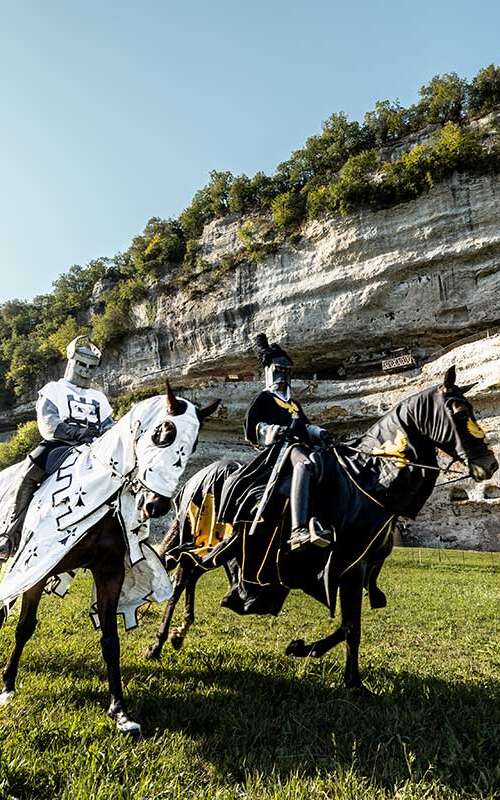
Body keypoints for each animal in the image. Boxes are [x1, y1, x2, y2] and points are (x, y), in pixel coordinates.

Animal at [0, 384, 220, 736]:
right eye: (163, 433)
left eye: (195, 443)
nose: (156, 505)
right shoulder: (35, 568)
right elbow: (24, 627)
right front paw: (7, 685)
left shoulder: (110, 573)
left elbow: (110, 640)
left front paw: (120, 711)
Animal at [146, 368, 498, 692]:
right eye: (460, 412)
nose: (490, 465)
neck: (369, 479)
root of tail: (195, 478)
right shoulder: (348, 568)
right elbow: (351, 627)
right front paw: (350, 680)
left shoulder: (355, 567)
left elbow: (348, 626)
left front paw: (311, 652)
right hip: (202, 541)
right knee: (180, 578)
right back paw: (159, 644)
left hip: (216, 549)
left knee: (189, 573)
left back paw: (177, 635)